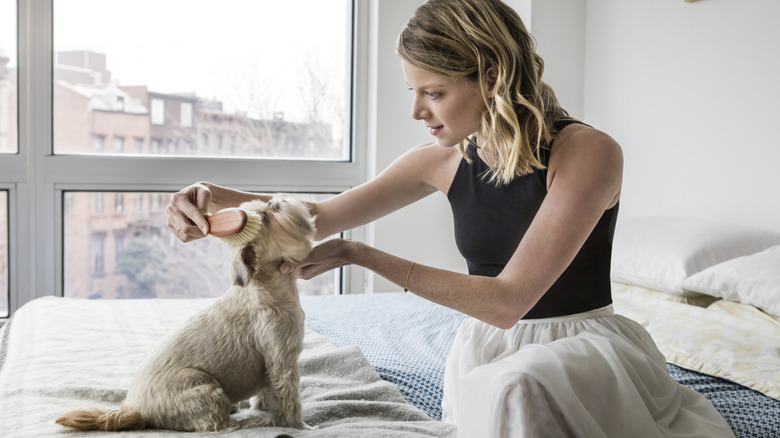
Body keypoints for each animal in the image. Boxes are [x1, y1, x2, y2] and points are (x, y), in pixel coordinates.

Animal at [54, 197, 316, 432]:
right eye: (266, 217)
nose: (273, 201)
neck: (266, 287)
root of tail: (136, 410)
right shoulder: (282, 361)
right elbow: (289, 398)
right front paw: (297, 425)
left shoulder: (269, 367)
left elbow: (266, 395)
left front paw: (264, 408)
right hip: (202, 386)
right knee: (216, 425)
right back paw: (251, 421)